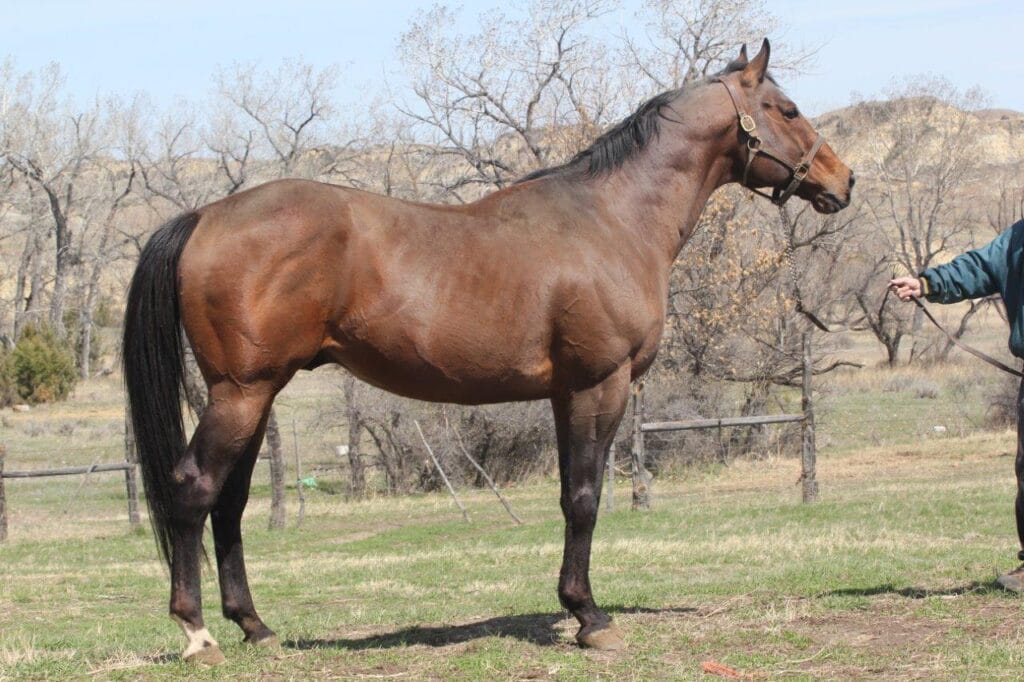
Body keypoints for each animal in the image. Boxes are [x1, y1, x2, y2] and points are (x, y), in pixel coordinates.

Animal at [122, 40, 853, 664]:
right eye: (787, 109)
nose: (844, 180)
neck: (611, 220)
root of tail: (206, 215)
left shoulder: (563, 393)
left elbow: (568, 494)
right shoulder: (600, 384)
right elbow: (585, 497)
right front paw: (590, 618)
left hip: (257, 394)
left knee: (230, 503)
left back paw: (255, 626)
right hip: (241, 392)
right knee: (194, 489)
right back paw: (197, 634)